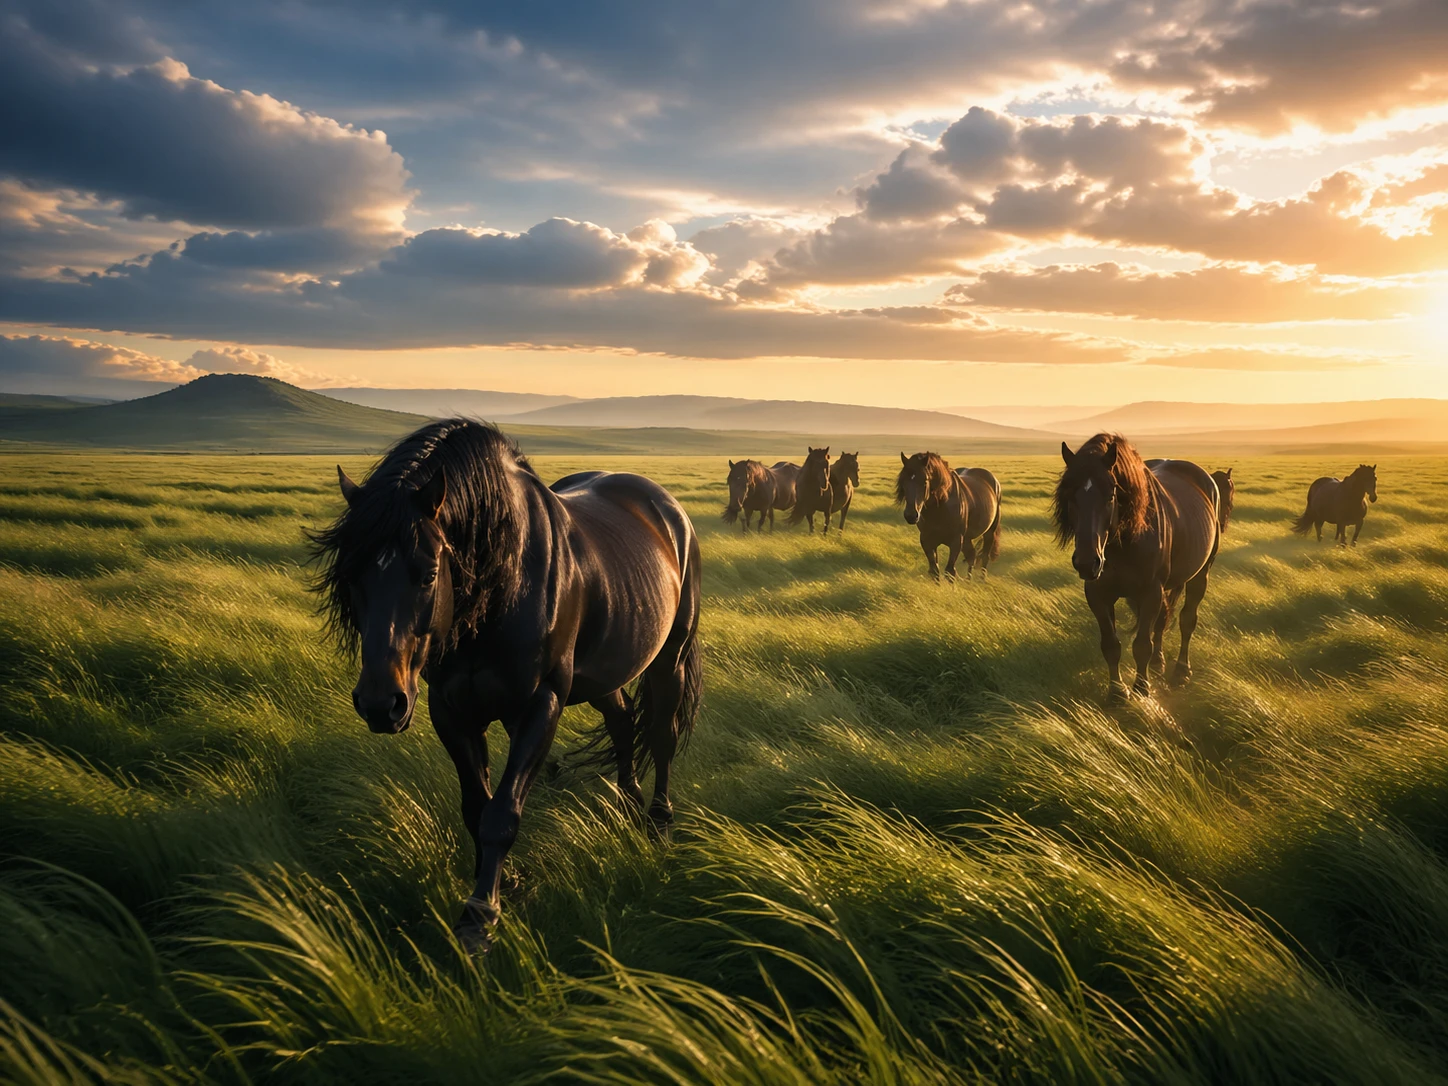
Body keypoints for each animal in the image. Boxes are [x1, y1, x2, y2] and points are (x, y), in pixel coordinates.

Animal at [310, 419, 702, 950]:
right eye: (350, 575)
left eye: (428, 572)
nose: (379, 704)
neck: (501, 588)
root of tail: (668, 508)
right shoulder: (451, 711)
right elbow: (477, 808)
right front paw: (499, 885)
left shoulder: (541, 705)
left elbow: (502, 814)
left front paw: (480, 917)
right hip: (604, 672)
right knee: (623, 723)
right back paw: (625, 804)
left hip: (669, 657)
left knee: (661, 733)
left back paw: (658, 822)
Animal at [1055, 435, 1220, 700]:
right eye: (1070, 495)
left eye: (1111, 494)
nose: (1087, 562)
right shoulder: (1097, 594)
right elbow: (1111, 644)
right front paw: (1116, 692)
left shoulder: (1150, 591)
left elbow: (1142, 644)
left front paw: (1142, 688)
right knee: (1162, 620)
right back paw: (1158, 663)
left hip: (1201, 573)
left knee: (1187, 620)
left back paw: (1181, 671)